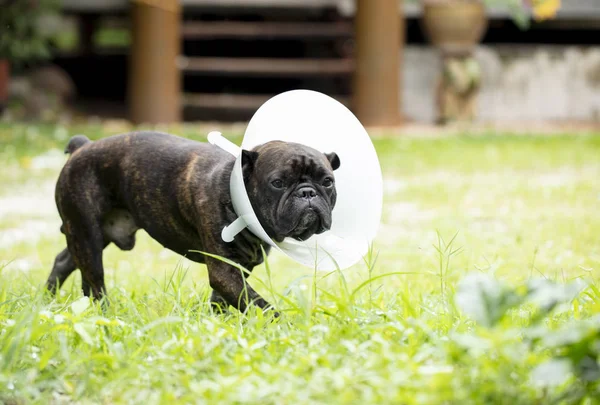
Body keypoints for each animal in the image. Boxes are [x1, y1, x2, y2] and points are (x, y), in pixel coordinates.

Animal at [45, 131, 340, 314]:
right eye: (277, 183)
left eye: (327, 181)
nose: (307, 192)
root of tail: (82, 146)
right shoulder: (224, 271)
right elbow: (258, 304)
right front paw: (283, 327)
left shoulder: (237, 268)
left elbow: (226, 300)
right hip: (86, 232)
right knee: (94, 278)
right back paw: (102, 311)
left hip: (93, 234)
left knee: (65, 261)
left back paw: (49, 299)